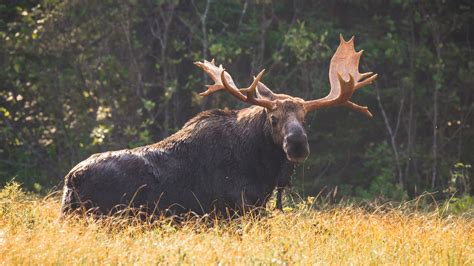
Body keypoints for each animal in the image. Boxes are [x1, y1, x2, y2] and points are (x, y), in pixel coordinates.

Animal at [60, 35, 378, 217]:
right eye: (273, 118)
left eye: (305, 118)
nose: (298, 145)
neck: (263, 172)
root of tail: (72, 179)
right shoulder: (233, 210)